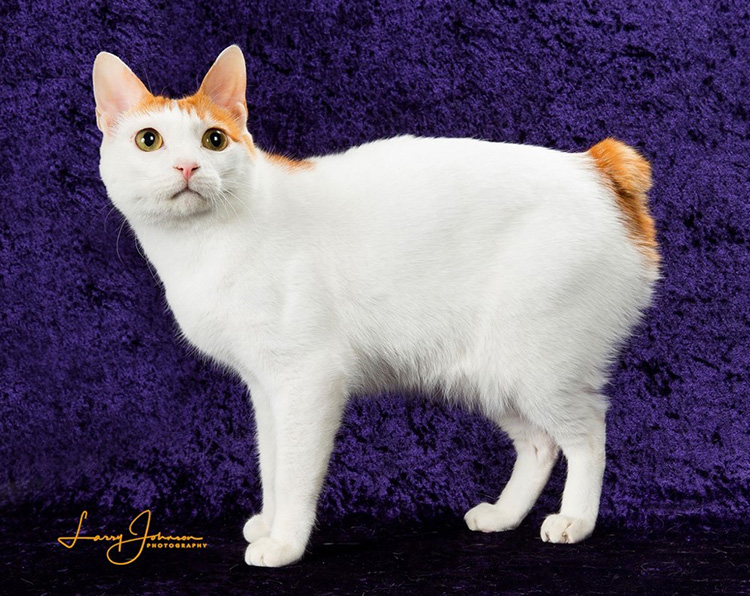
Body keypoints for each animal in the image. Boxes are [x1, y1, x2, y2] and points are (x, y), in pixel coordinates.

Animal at [92, 45, 659, 567]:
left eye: (214, 139)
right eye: (149, 139)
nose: (187, 165)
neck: (200, 248)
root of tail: (591, 164)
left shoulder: (308, 380)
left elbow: (294, 472)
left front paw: (284, 542)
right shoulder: (265, 388)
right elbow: (271, 464)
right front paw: (269, 523)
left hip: (537, 366)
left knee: (588, 433)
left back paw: (575, 520)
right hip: (491, 374)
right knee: (539, 444)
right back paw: (503, 515)